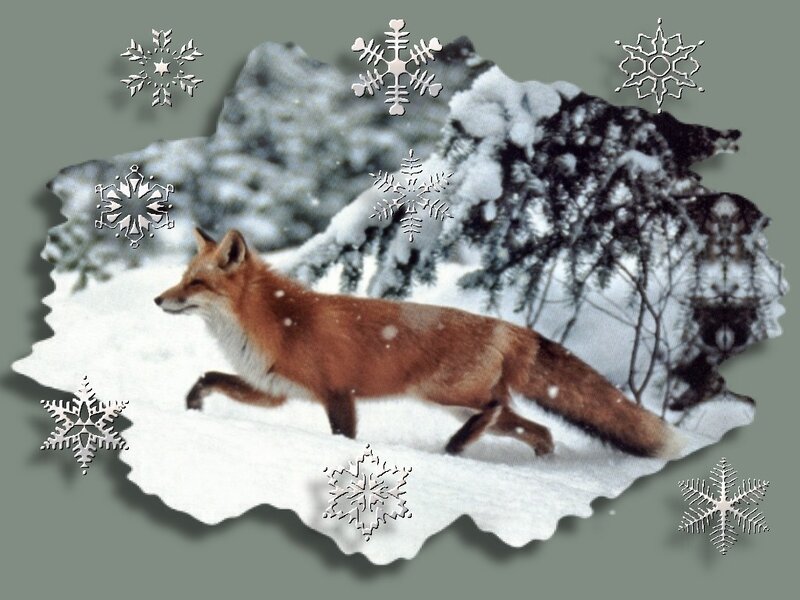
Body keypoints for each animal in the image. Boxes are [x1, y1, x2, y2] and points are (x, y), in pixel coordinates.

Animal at [154, 228, 682, 458]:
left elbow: (344, 439)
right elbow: (209, 377)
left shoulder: (338, 395)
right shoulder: (274, 392)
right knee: (540, 430)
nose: (158, 299)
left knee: (495, 410)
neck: (278, 321)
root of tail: (508, 326)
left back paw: (456, 447)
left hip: (442, 394)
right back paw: (535, 461)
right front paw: (191, 405)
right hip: (460, 403)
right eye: (182, 277)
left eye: (196, 283)